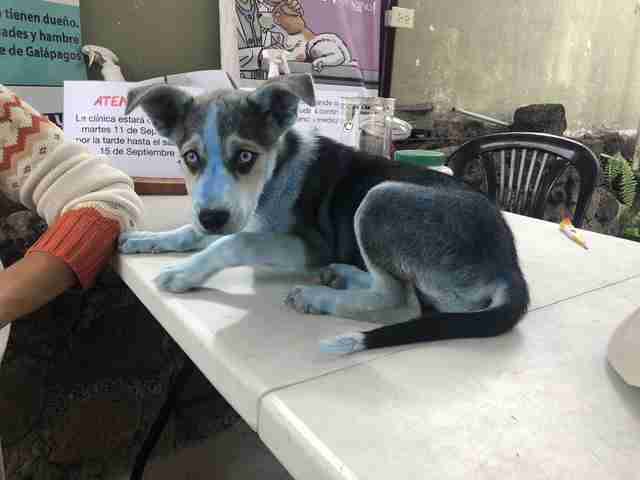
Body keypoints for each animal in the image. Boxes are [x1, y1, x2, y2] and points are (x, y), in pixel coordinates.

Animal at [121, 74, 528, 352]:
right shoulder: (233, 213)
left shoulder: (310, 244)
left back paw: (318, 297)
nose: (212, 218)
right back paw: (341, 275)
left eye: (245, 156)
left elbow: (236, 242)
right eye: (190, 157)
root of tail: (509, 266)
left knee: (401, 302)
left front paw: (184, 272)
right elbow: (193, 231)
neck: (277, 170)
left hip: (379, 199)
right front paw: (145, 239)